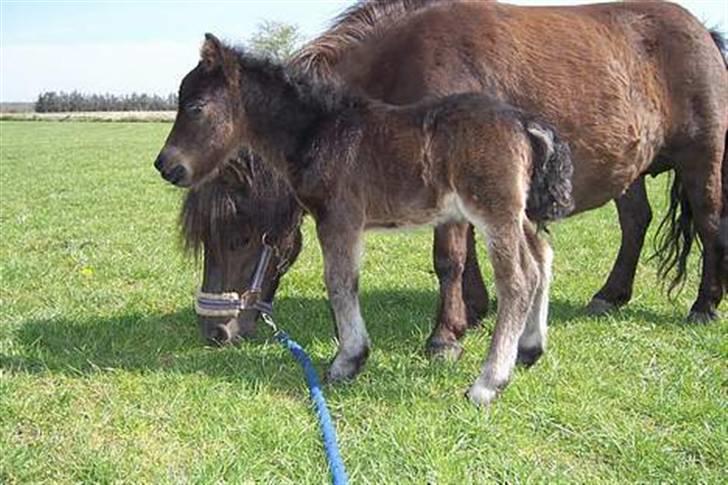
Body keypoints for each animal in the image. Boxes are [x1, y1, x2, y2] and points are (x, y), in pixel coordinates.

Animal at [161, 34, 580, 402]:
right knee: (542, 256)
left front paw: (347, 361)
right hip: (515, 212)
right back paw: (529, 349)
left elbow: (339, 283)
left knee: (518, 280)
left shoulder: (338, 218)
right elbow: (346, 282)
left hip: (494, 211)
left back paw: (487, 384)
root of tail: (523, 121)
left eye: (196, 106)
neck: (319, 132)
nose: (165, 166)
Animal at [168, 0, 724, 350]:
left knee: (710, 222)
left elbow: (448, 258)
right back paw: (610, 296)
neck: (404, 63)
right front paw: (471, 313)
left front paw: (443, 337)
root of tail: (701, 29)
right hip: (629, 169)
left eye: (240, 236)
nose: (214, 332)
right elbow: (467, 254)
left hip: (703, 158)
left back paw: (704, 306)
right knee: (635, 223)